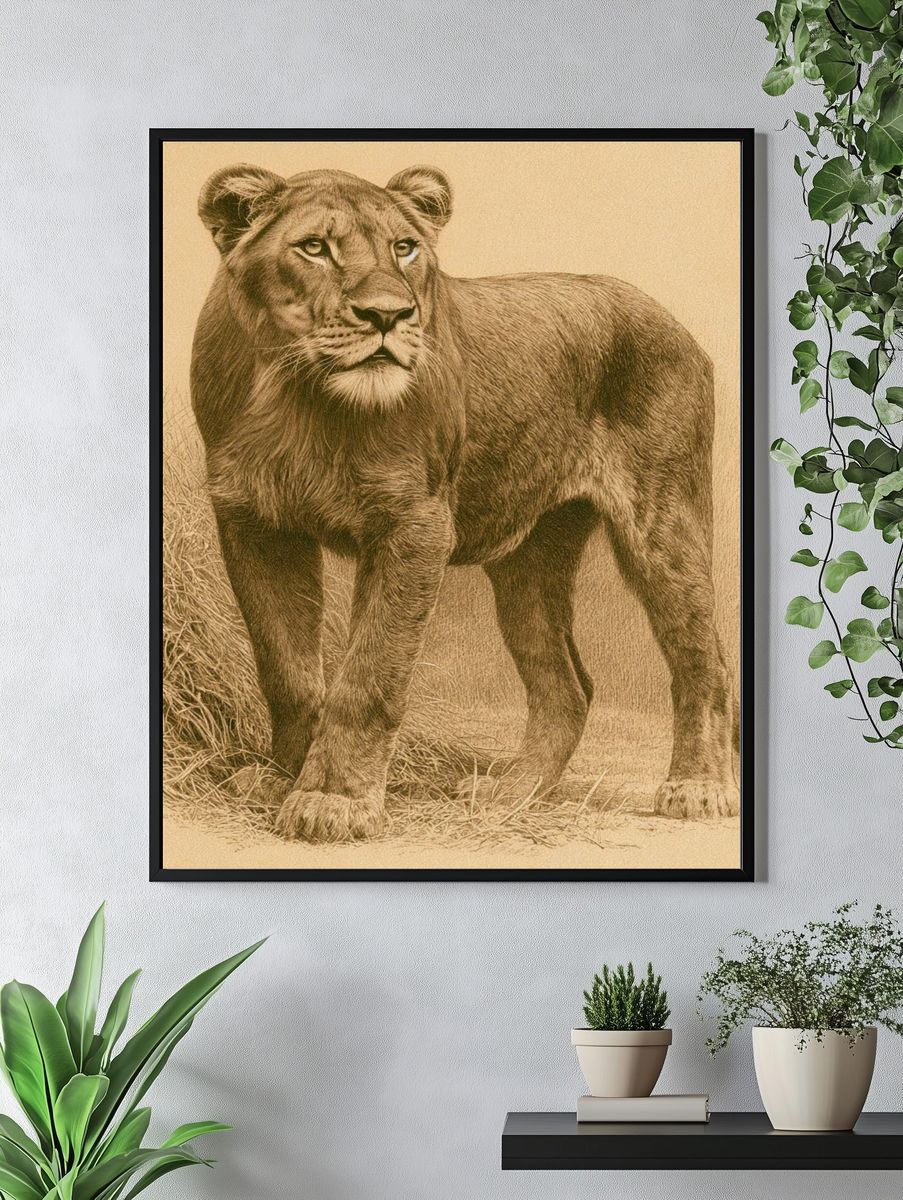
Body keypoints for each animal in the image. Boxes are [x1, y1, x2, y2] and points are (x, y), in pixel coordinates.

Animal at [190, 160, 739, 843]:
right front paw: (279, 778)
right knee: (567, 687)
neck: (298, 396)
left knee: (702, 661)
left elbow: (368, 675)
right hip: (530, 561)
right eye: (314, 247)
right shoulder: (254, 523)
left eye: (404, 247)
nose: (388, 315)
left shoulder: (413, 526)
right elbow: (286, 670)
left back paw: (698, 788)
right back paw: (511, 794)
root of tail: (669, 318)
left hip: (661, 522)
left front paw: (333, 800)